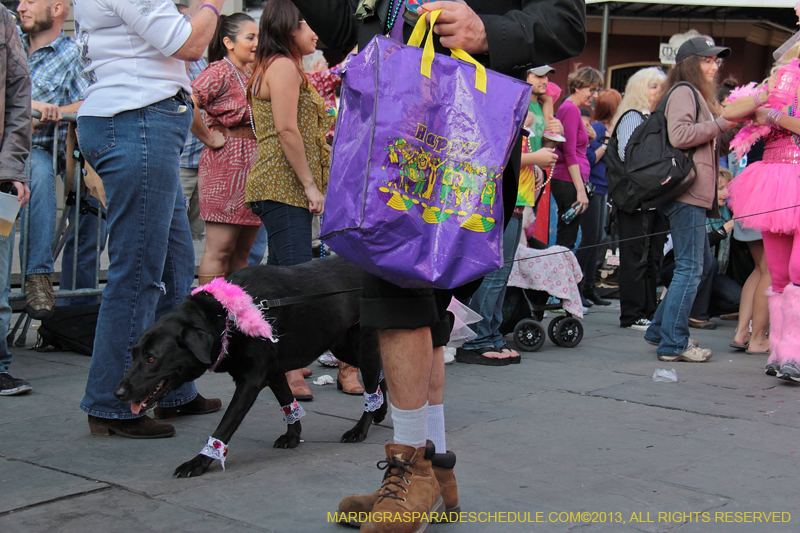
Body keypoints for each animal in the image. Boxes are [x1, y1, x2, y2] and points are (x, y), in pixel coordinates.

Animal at [114, 256, 386, 476]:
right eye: (134, 354)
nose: (118, 393)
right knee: (379, 376)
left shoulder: (251, 381)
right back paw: (380, 412)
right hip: (342, 344)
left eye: (151, 359)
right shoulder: (274, 372)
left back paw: (360, 429)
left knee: (373, 379)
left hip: (361, 345)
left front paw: (200, 461)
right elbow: (287, 403)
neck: (225, 317)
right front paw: (293, 436)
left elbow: (224, 426)